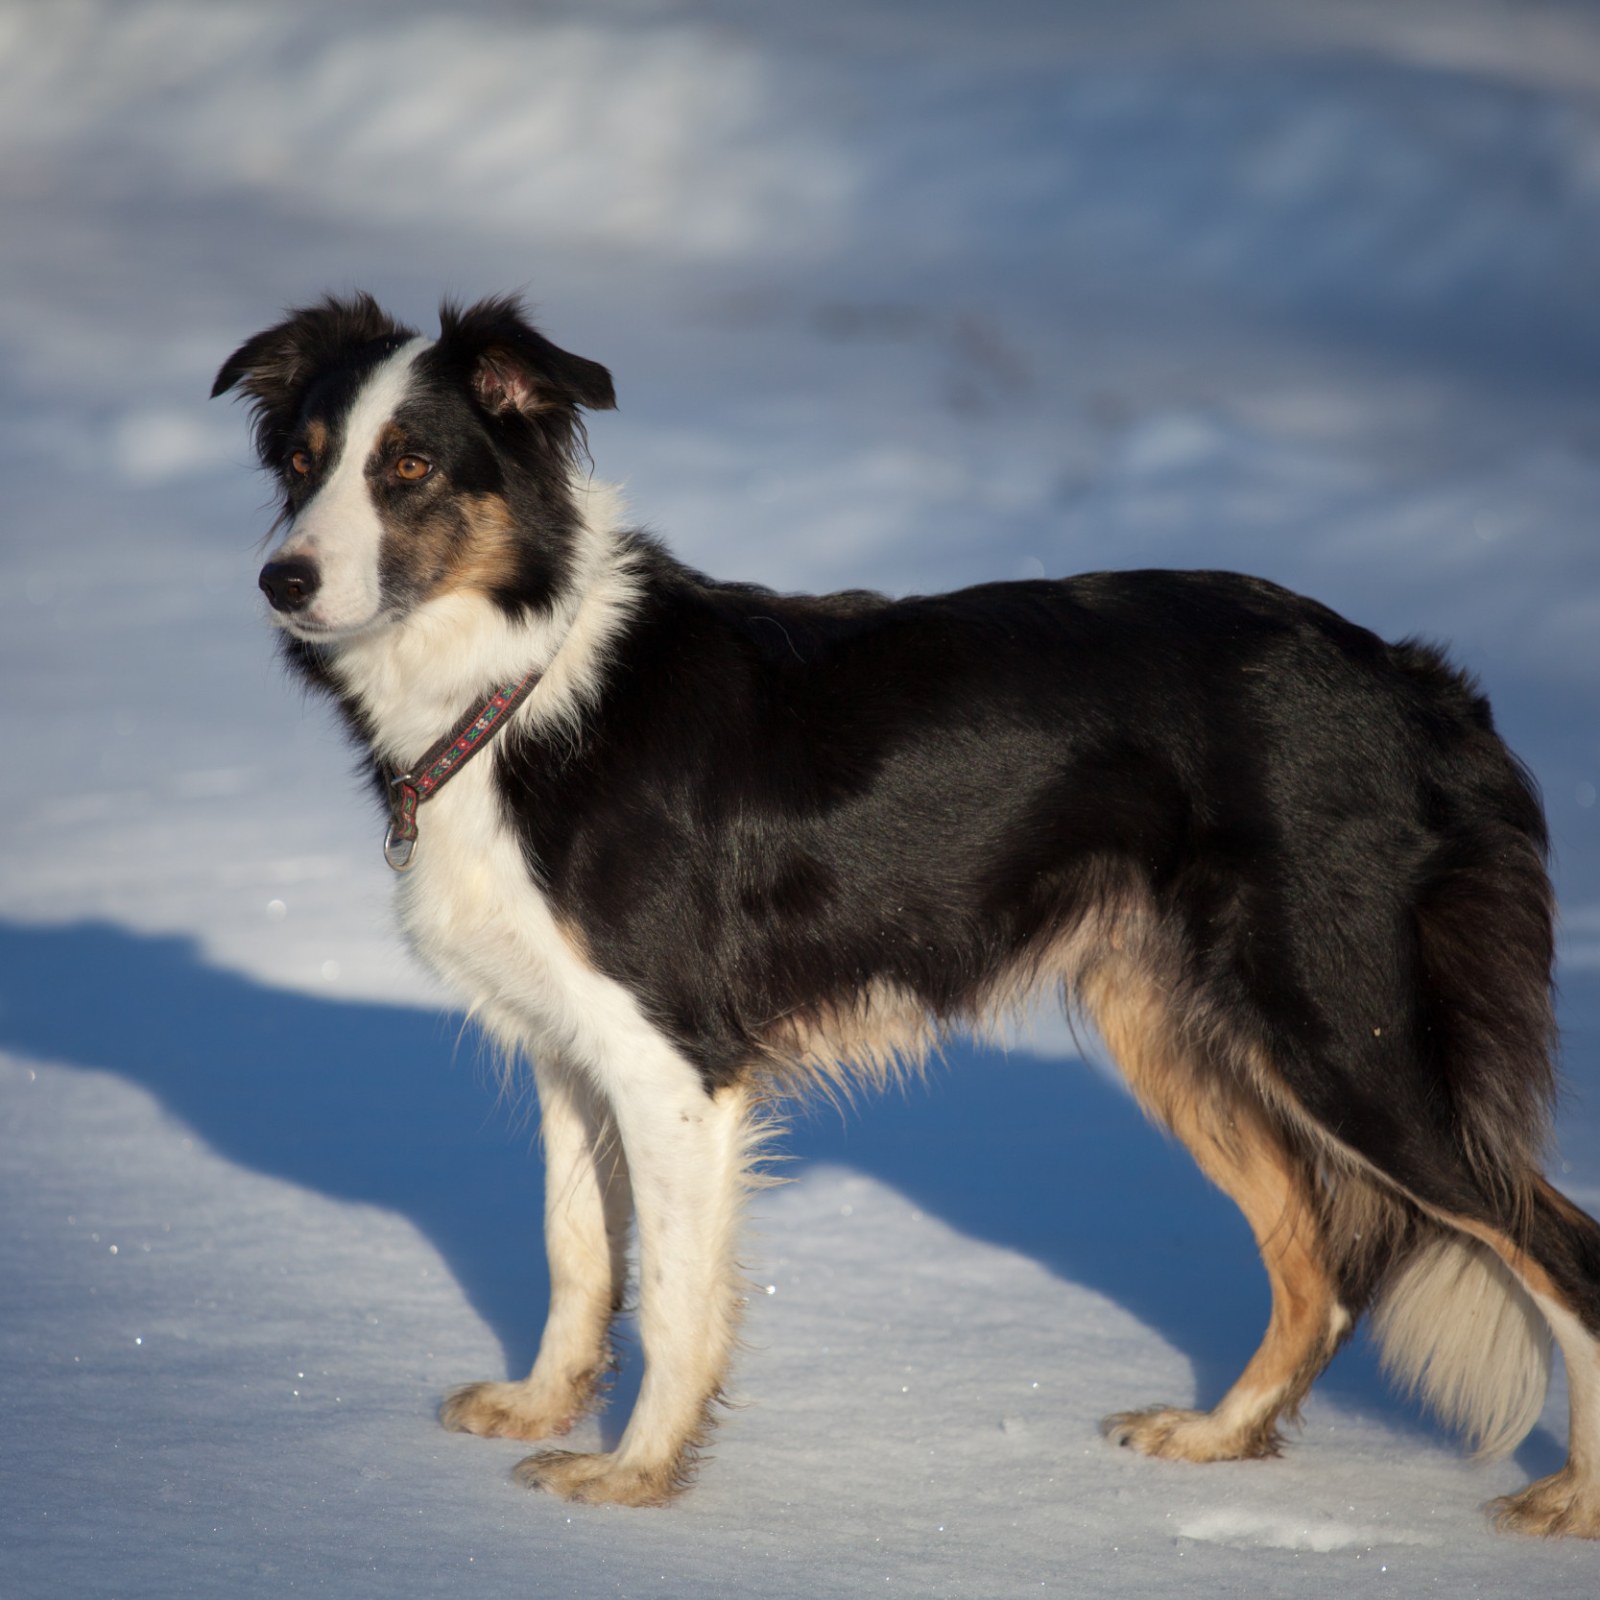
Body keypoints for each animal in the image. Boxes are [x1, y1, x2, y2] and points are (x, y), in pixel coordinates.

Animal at [212, 294, 1600, 1529]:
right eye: (303, 461)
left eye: (409, 465)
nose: (281, 581)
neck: (522, 677)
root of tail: (1414, 681)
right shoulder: (569, 1051)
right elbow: (574, 1252)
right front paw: (546, 1408)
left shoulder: (677, 1067)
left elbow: (671, 1296)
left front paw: (635, 1475)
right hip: (1174, 1025)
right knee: (1313, 1264)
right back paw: (1215, 1436)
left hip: (1345, 1033)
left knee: (1557, 1247)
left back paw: (1573, 1499)